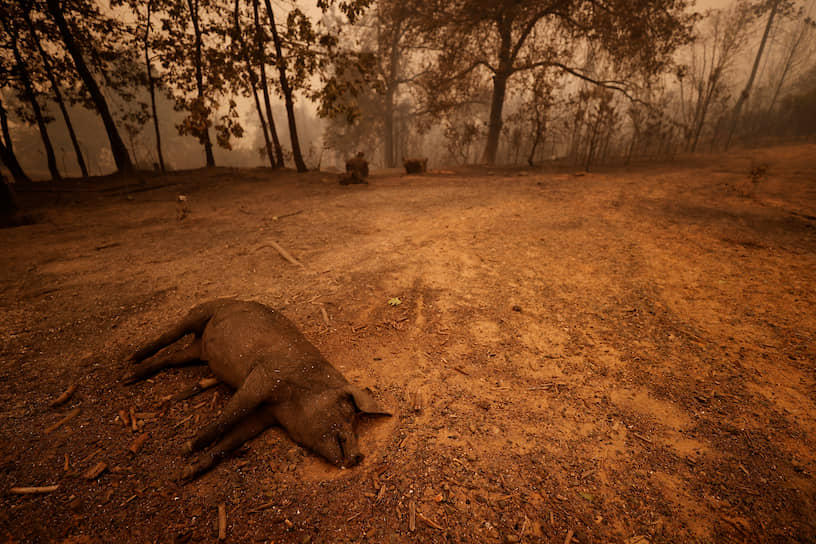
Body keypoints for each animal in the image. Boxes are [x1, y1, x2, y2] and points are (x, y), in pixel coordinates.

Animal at [122, 300, 390, 478]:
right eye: (347, 411)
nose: (359, 456)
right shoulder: (262, 379)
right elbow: (228, 417)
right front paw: (185, 449)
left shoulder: (265, 417)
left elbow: (233, 440)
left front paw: (185, 474)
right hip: (199, 312)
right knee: (169, 335)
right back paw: (130, 365)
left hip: (195, 353)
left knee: (171, 357)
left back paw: (130, 376)